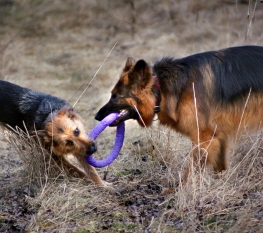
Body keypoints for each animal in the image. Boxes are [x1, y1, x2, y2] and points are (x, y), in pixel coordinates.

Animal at [96, 45, 263, 184]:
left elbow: (191, 171)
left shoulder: (204, 138)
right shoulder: (217, 137)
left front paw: (181, 191)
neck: (161, 90)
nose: (96, 117)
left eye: (115, 96)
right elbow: (219, 166)